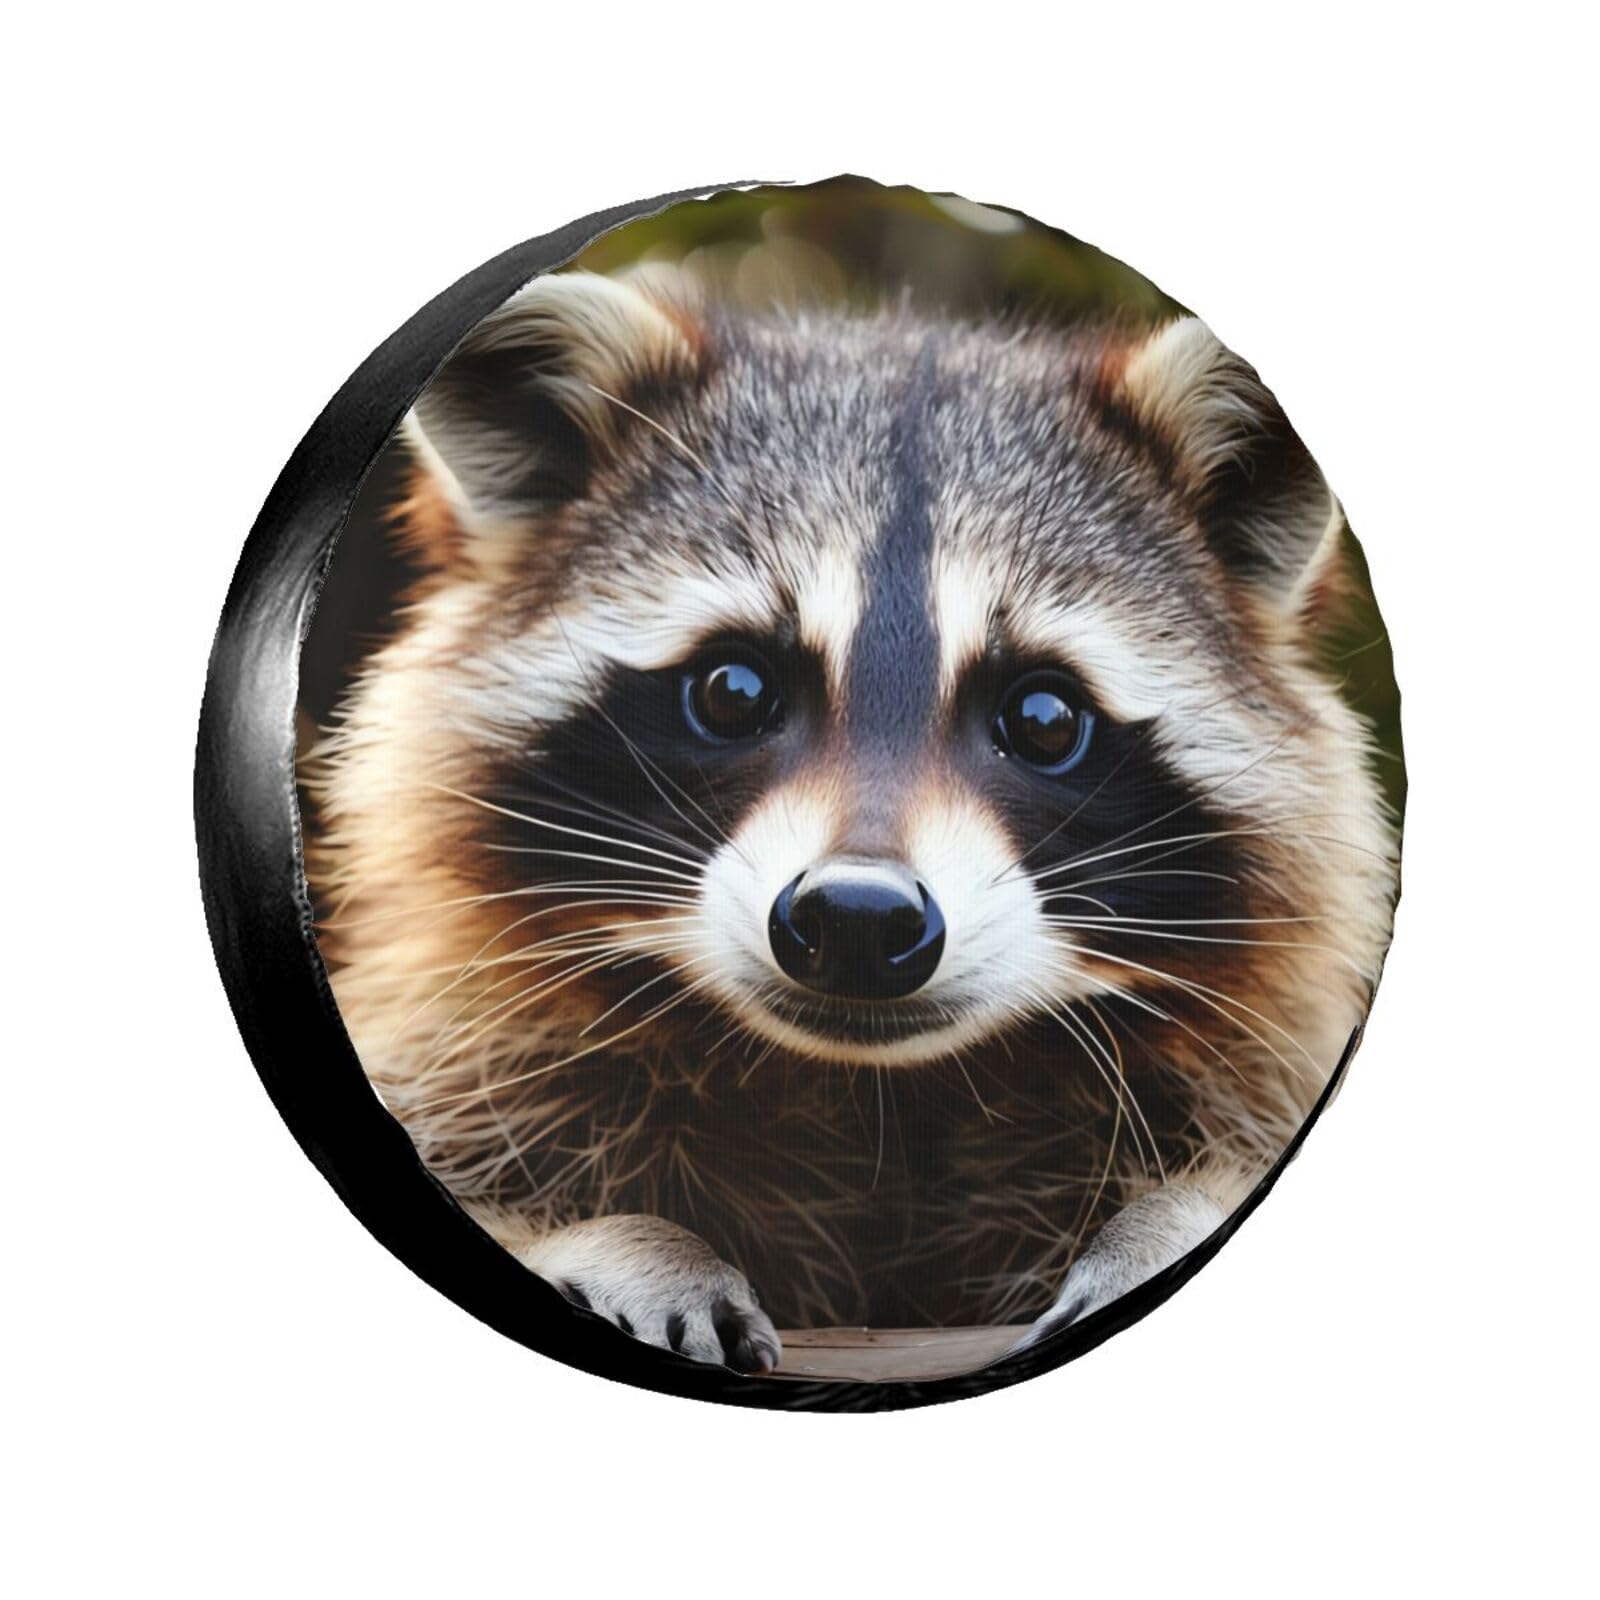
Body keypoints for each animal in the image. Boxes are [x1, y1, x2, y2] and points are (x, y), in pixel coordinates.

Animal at [304, 267, 1397, 1376]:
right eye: (734, 690)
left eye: (1044, 719)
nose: (859, 919)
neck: (875, 1096)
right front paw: (616, 1238)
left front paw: (1167, 1219)